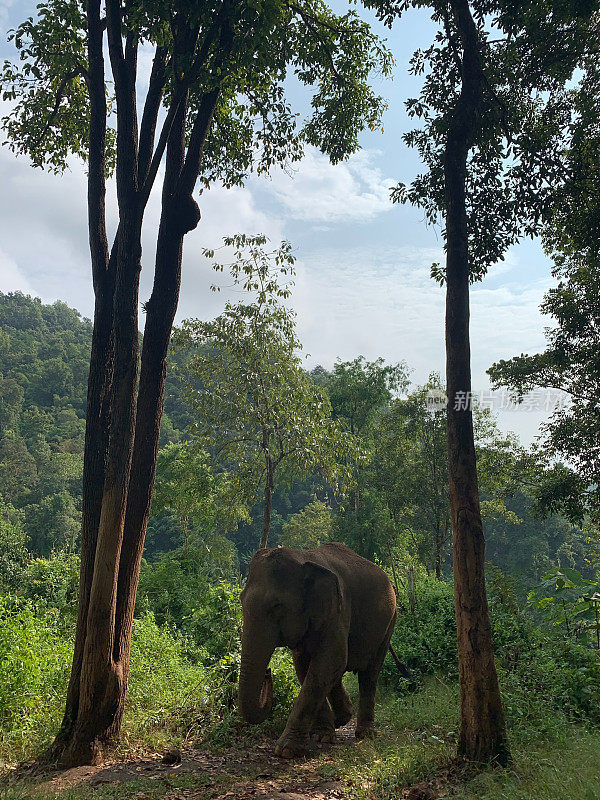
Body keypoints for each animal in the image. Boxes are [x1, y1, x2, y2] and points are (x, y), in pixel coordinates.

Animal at [237, 536, 396, 756]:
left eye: (277, 606)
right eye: (241, 600)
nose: (268, 673)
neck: (302, 558)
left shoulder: (338, 611)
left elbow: (331, 660)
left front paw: (286, 750)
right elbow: (306, 666)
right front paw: (321, 736)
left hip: (389, 624)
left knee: (370, 674)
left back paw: (365, 734)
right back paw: (343, 717)